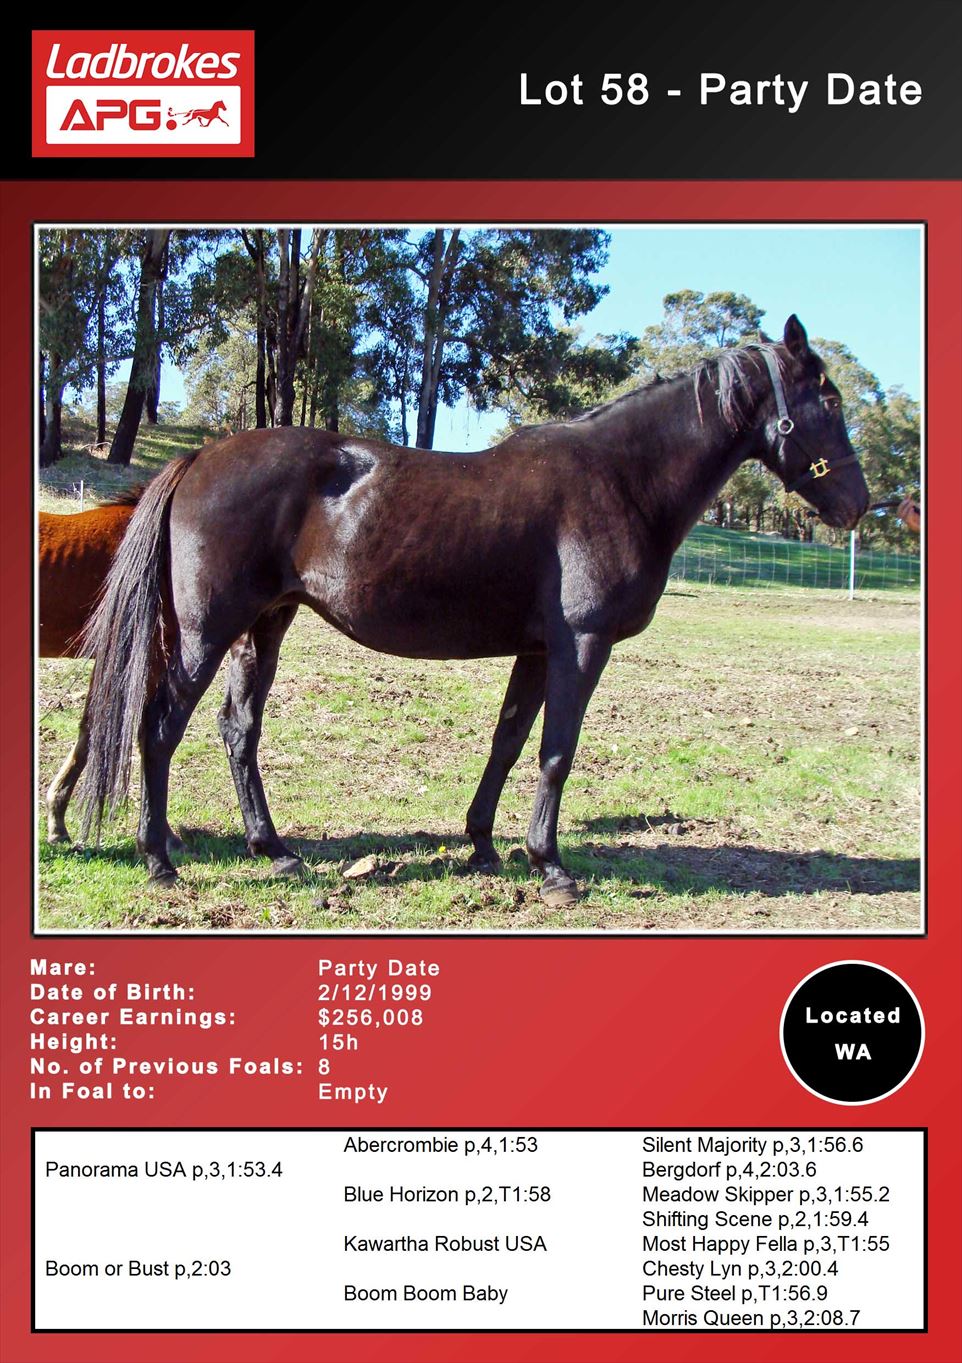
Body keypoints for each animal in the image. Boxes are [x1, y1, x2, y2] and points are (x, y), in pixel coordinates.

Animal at [80, 317, 869, 903]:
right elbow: (556, 751)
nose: (860, 504)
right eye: (828, 402)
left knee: (238, 730)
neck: (620, 478)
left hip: (263, 626)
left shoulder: (539, 649)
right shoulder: (582, 644)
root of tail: (199, 459)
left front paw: (485, 844)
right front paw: (551, 867)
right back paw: (159, 859)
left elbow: (509, 741)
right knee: (159, 728)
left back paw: (272, 849)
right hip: (206, 635)